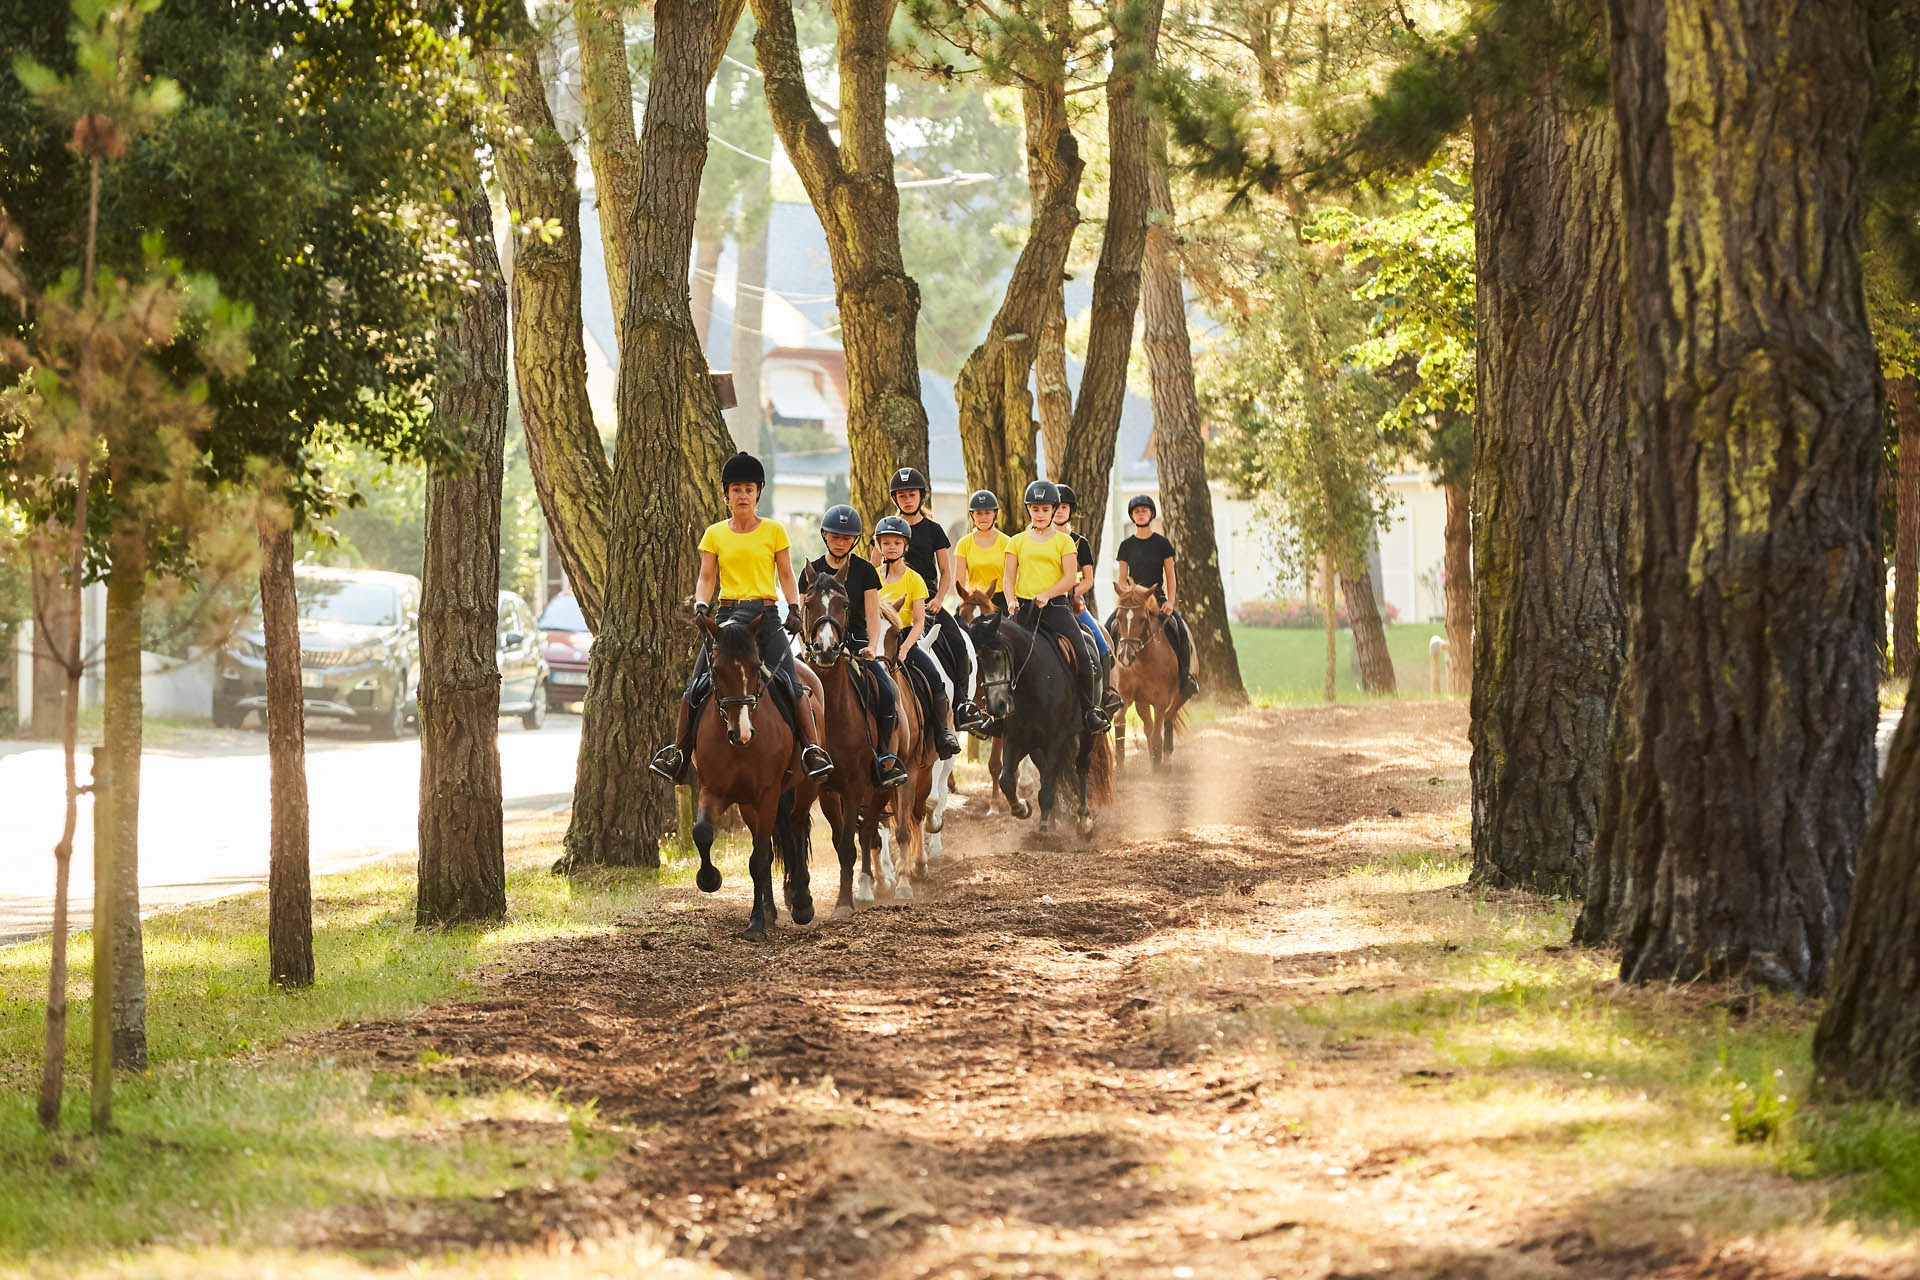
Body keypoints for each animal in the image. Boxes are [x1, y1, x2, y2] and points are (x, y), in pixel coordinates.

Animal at [687, 614, 814, 936]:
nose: (741, 733)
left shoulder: (768, 794)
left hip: (804, 788)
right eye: (716, 670)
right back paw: (772, 908)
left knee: (796, 829)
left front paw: (756, 923)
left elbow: (758, 860)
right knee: (772, 843)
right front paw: (709, 879)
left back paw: (802, 902)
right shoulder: (713, 789)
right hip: (748, 805)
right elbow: (703, 832)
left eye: (756, 668)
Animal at [794, 571, 890, 921]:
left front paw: (846, 902)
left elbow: (851, 843)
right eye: (808, 603)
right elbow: (839, 844)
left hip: (882, 786)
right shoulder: (827, 790)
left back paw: (869, 885)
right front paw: (841, 898)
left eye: (844, 604)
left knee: (870, 830)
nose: (825, 648)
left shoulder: (854, 786)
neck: (833, 711)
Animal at [975, 610, 1098, 840]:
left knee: (1081, 767)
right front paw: (1022, 808)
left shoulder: (1056, 740)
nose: (997, 706)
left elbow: (1047, 790)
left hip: (1087, 734)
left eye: (997, 656)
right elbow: (1007, 781)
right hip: (1037, 748)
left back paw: (1084, 819)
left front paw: (1042, 834)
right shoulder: (1015, 739)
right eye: (978, 659)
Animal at [1105, 579, 1190, 771]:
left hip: (1179, 696)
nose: (1125, 657)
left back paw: (1165, 760)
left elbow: (1158, 733)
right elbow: (1120, 721)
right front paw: (1120, 766)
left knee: (1168, 719)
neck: (1144, 660)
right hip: (1142, 702)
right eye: (1119, 618)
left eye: (1142, 619)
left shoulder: (1161, 700)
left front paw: (1158, 767)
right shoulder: (1126, 695)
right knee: (1149, 727)